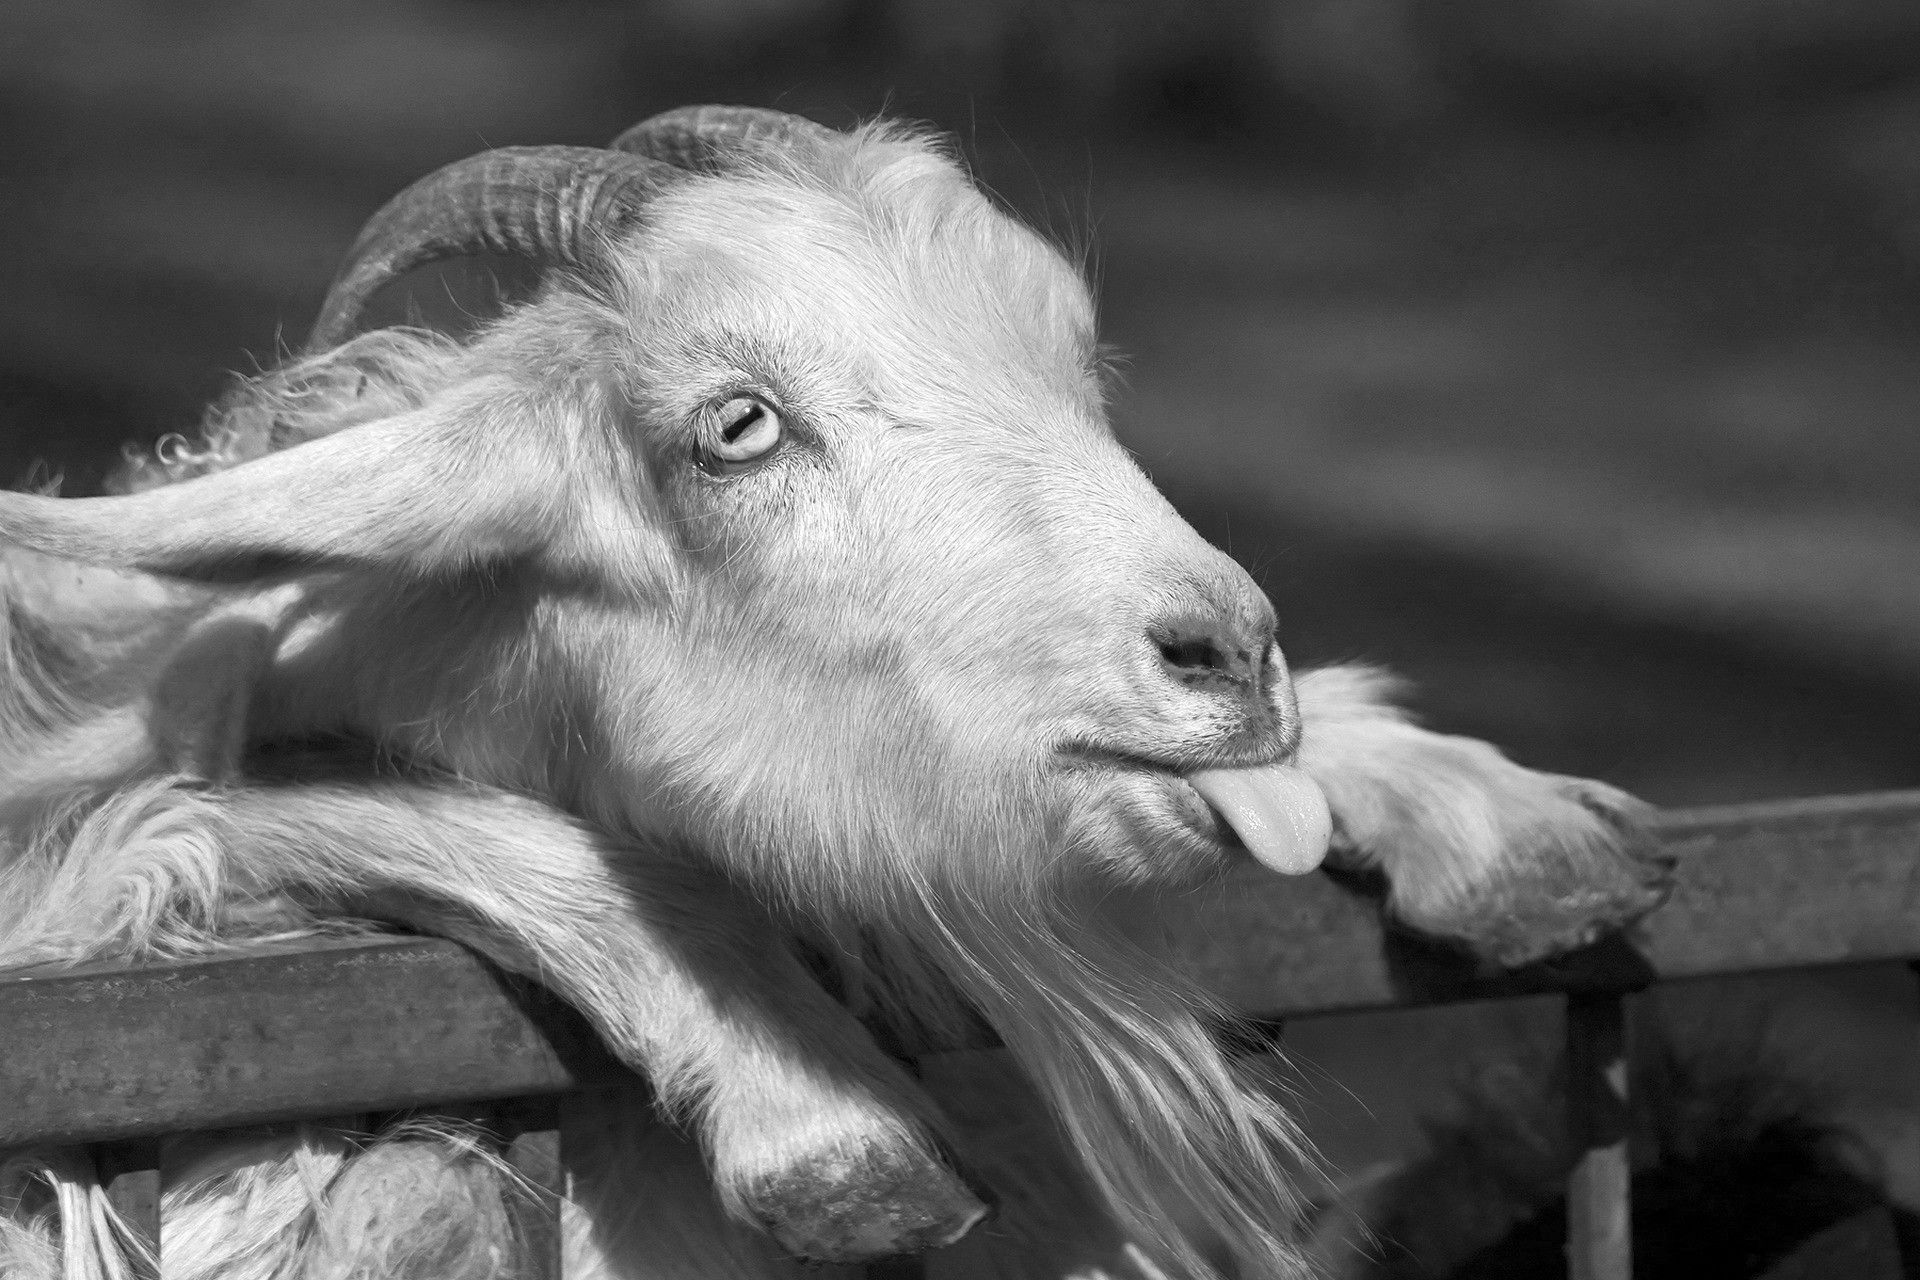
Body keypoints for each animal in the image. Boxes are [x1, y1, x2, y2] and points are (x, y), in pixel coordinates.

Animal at [0, 106, 1669, 1278]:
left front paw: (1507, 827)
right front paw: (831, 1126)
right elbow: (265, 812)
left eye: (1077, 371)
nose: (1229, 652)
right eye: (737, 427)